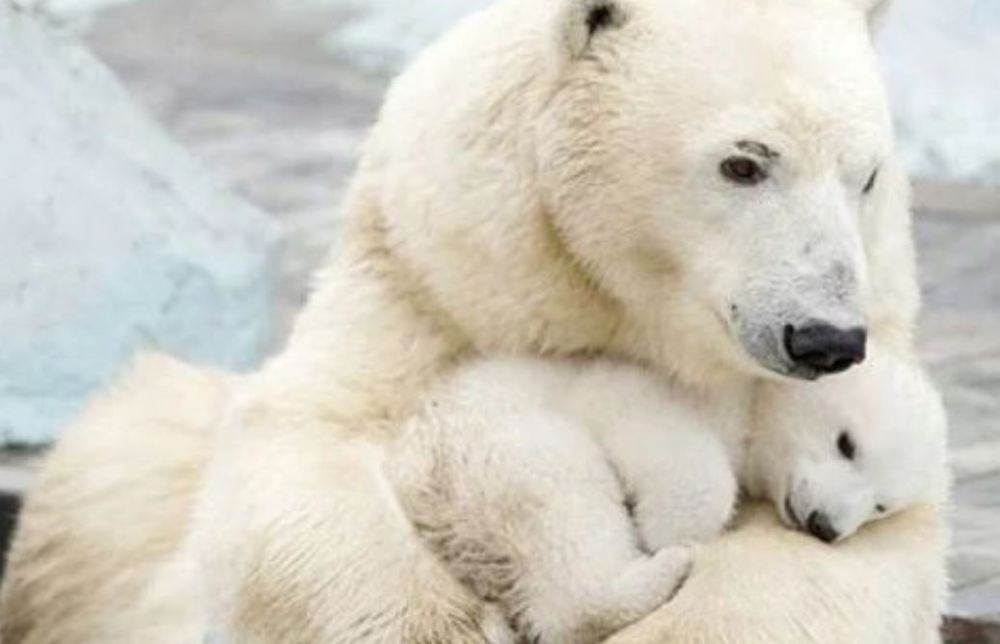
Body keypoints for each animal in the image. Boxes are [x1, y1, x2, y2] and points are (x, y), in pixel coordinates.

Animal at [385, 347, 946, 644]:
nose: (824, 524)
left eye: (881, 505)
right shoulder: (644, 382)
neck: (751, 397)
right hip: (499, 445)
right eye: (847, 443)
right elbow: (654, 430)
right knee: (564, 505)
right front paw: (669, 532)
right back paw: (667, 566)